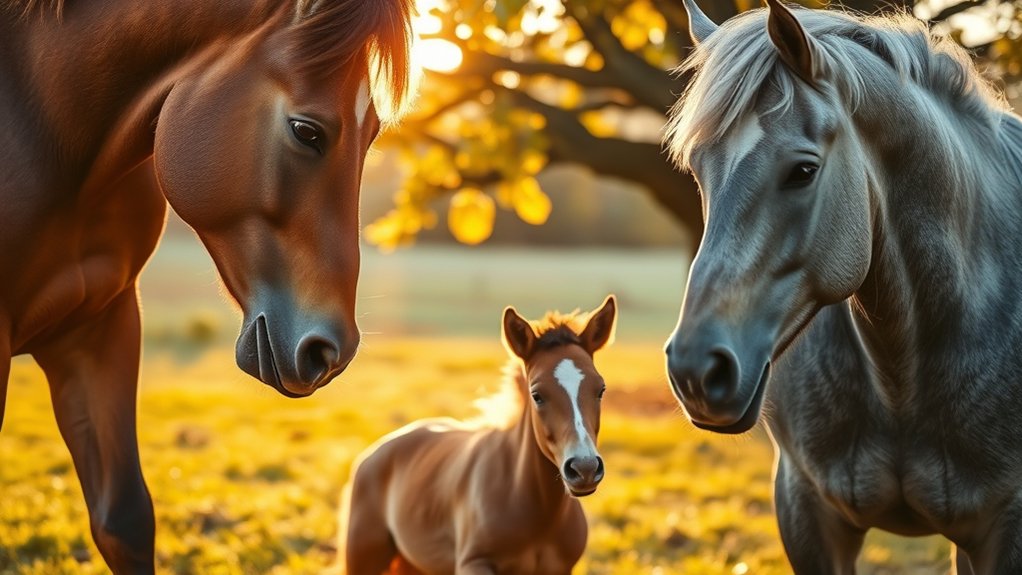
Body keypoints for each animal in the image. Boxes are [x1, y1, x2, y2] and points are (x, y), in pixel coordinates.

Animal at [0, 0, 413, 571]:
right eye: (307, 131)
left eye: (372, 131)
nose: (332, 351)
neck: (40, 128)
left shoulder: (99, 328)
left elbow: (123, 520)